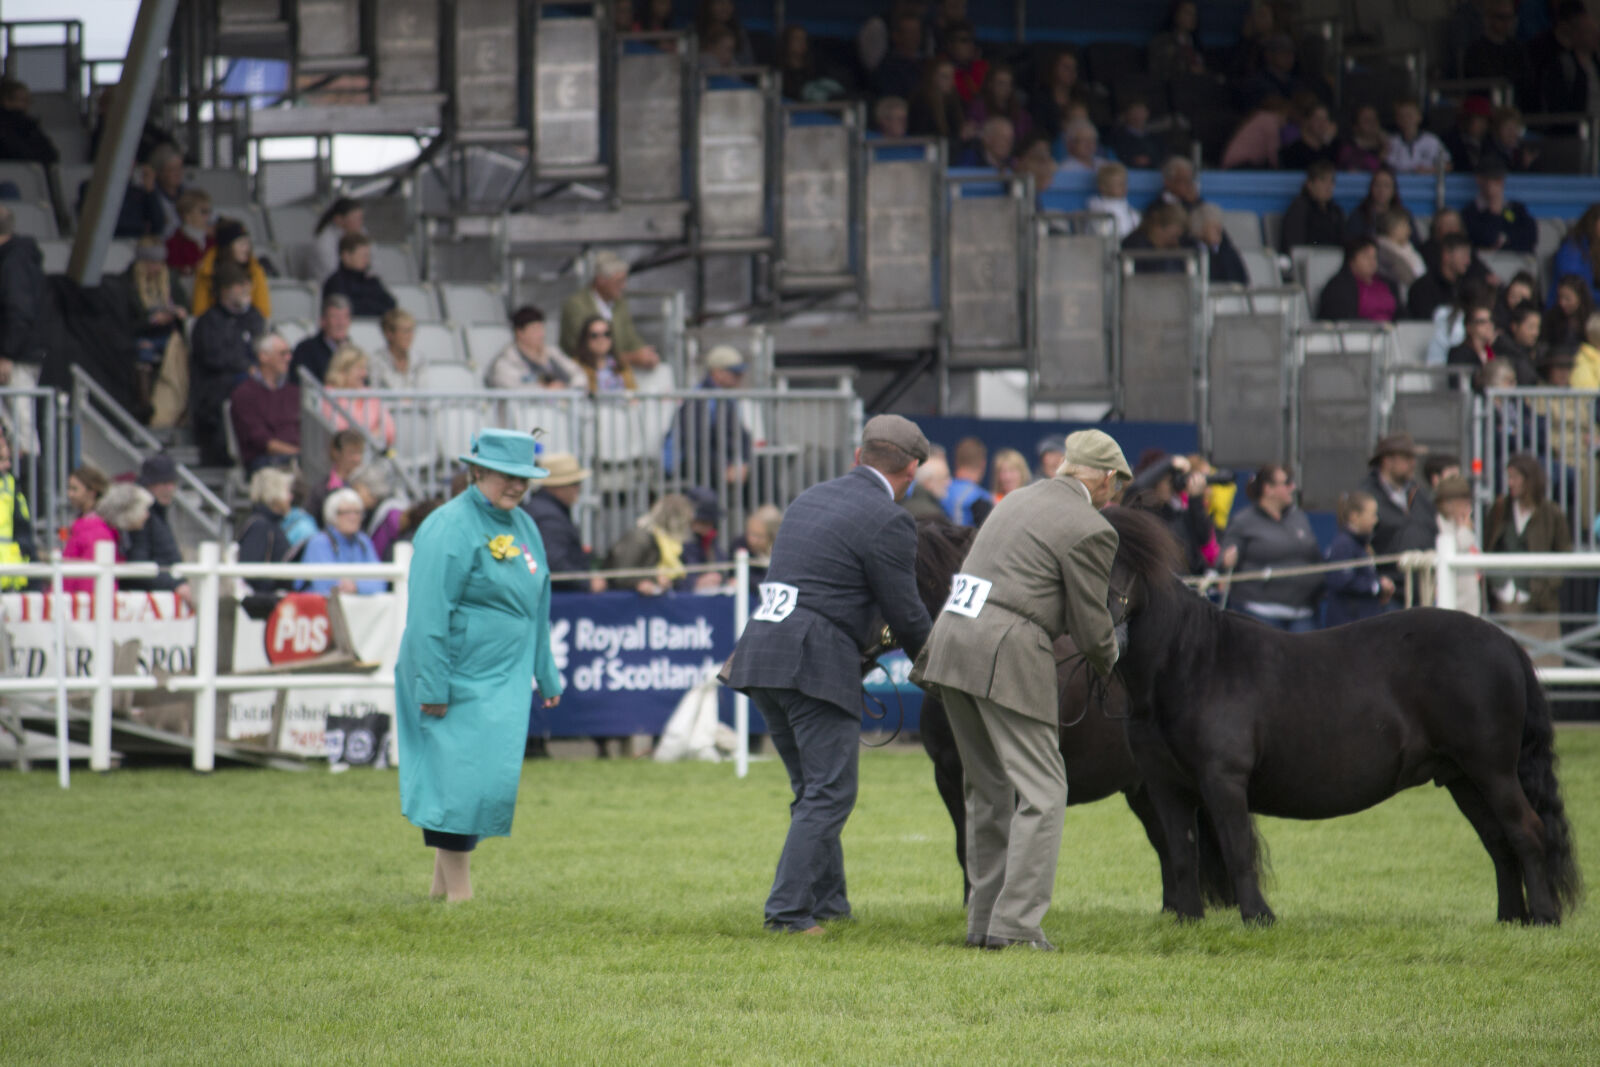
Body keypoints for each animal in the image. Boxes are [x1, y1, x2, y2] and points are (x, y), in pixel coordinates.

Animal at [1100, 505, 1587, 921]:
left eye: (1117, 567)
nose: (1107, 631)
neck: (1192, 663)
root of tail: (1507, 643)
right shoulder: (1166, 786)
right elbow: (1182, 854)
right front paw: (1187, 919)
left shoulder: (1223, 780)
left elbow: (1237, 850)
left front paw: (1258, 917)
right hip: (1462, 777)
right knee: (1498, 841)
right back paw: (1510, 918)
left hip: (1492, 770)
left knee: (1526, 832)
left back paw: (1543, 918)